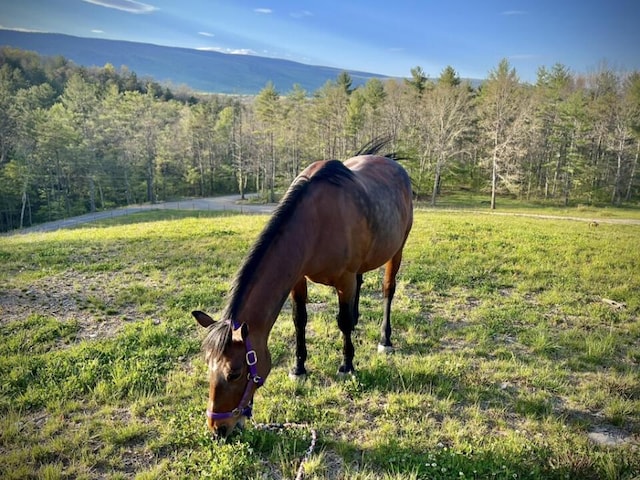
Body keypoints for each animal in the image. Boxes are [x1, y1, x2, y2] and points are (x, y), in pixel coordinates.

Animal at [192, 140, 412, 438]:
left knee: (388, 290)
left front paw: (347, 365)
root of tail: (393, 165)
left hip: (396, 251)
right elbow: (300, 320)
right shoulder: (299, 279)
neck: (317, 221)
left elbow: (342, 322)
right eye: (208, 368)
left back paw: (384, 339)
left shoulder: (344, 279)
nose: (218, 429)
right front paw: (299, 367)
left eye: (234, 373)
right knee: (361, 286)